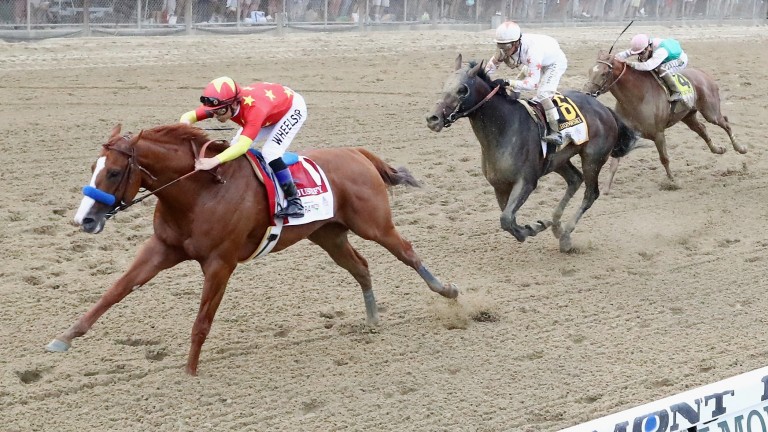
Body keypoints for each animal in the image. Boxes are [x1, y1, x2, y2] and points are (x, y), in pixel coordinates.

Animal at [46, 124, 456, 374]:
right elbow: (115, 291)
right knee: (361, 266)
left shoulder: (220, 263)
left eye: (114, 172)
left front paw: (189, 372)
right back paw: (372, 319)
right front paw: (63, 338)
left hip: (374, 225)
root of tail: (356, 152)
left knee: (406, 251)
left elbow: (202, 321)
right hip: (329, 235)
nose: (84, 220)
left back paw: (447, 291)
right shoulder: (162, 249)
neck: (199, 192)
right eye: (94, 166)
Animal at [426, 54, 636, 253]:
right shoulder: (499, 186)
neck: (504, 128)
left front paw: (534, 227)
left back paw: (565, 236)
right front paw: (535, 226)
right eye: (445, 85)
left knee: (591, 193)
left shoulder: (526, 182)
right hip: (558, 160)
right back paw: (556, 226)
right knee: (575, 179)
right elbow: (508, 219)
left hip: (592, 159)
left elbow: (506, 219)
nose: (432, 118)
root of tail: (604, 109)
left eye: (462, 90)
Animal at [584, 50, 748, 192]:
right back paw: (718, 149)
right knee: (702, 129)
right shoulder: (625, 134)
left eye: (604, 73)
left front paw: (673, 182)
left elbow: (664, 158)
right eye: (590, 71)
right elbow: (614, 162)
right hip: (688, 115)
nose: (586, 93)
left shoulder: (658, 133)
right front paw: (606, 188)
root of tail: (704, 74)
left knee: (725, 123)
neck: (637, 97)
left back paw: (740, 148)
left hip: (710, 112)